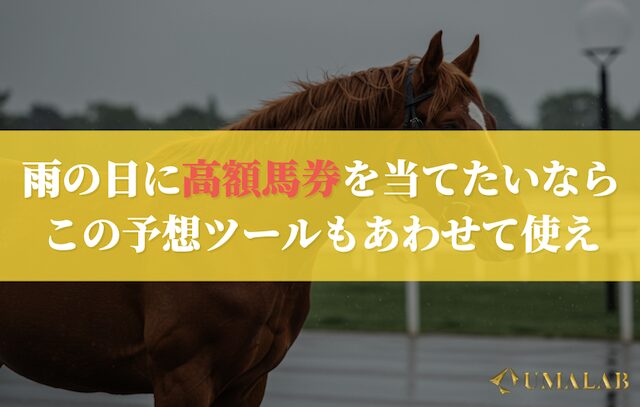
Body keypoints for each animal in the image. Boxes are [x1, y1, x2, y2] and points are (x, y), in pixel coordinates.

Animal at [0, 31, 522, 406]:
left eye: (492, 123)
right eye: (451, 125)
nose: (511, 223)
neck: (235, 232)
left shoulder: (248, 385)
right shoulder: (182, 380)